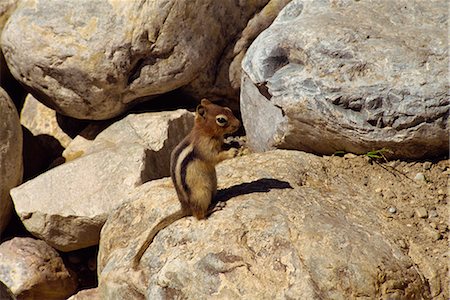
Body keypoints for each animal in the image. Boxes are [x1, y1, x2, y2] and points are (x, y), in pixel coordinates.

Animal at [132, 99, 239, 268]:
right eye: (221, 119)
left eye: (228, 109)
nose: (239, 124)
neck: (204, 132)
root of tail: (185, 207)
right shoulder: (205, 148)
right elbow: (214, 157)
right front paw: (232, 152)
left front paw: (234, 144)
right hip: (202, 193)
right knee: (198, 216)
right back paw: (214, 207)